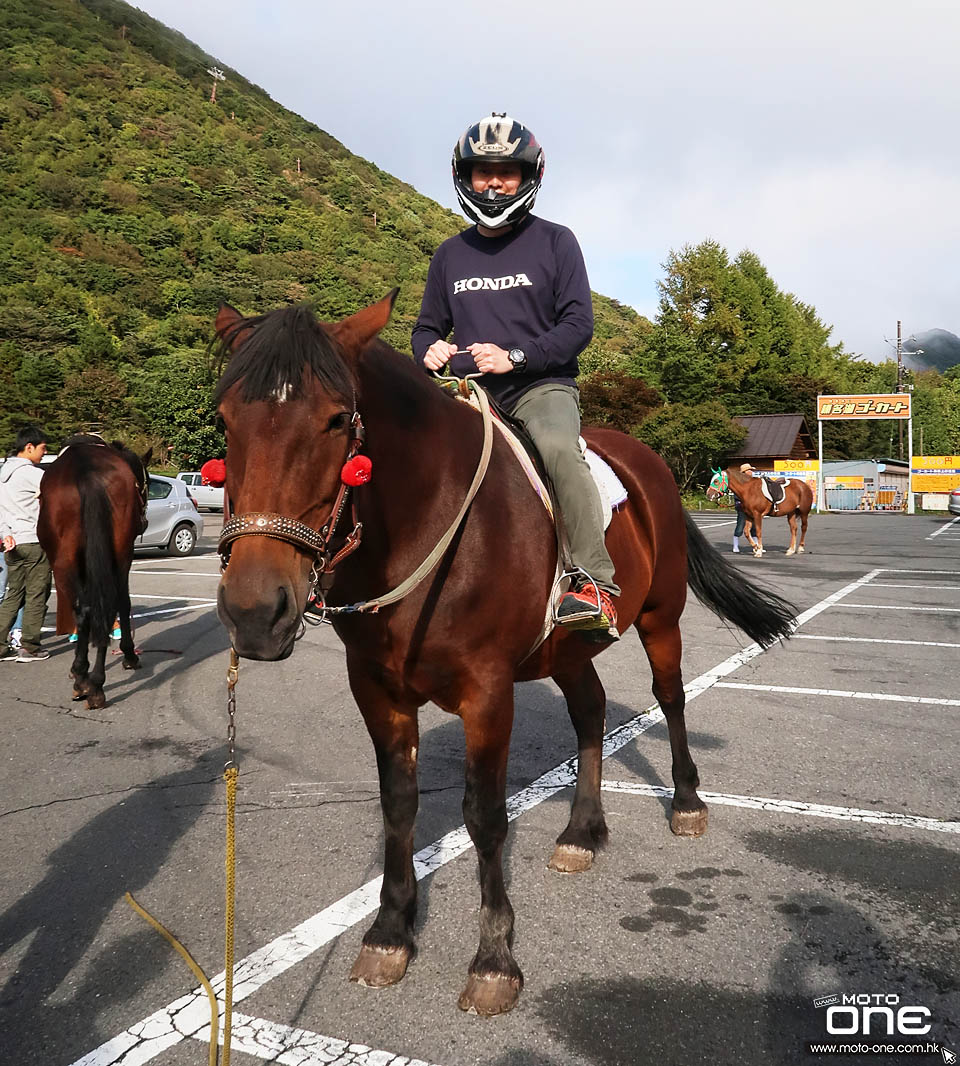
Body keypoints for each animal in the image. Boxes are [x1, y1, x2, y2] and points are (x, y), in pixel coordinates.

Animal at [37, 432, 148, 707]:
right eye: (146, 484)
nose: (144, 521)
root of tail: (87, 472)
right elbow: (122, 603)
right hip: (115, 553)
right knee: (102, 607)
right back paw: (94, 681)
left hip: (69, 559)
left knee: (88, 609)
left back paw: (87, 680)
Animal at [212, 294, 792, 1014]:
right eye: (224, 418)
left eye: (337, 419)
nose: (254, 610)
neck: (431, 527)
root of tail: (647, 460)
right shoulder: (374, 687)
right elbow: (398, 805)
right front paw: (389, 932)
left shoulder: (487, 691)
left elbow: (484, 816)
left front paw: (494, 958)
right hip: (568, 650)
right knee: (591, 712)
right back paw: (581, 831)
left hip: (661, 617)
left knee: (670, 697)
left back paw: (686, 803)